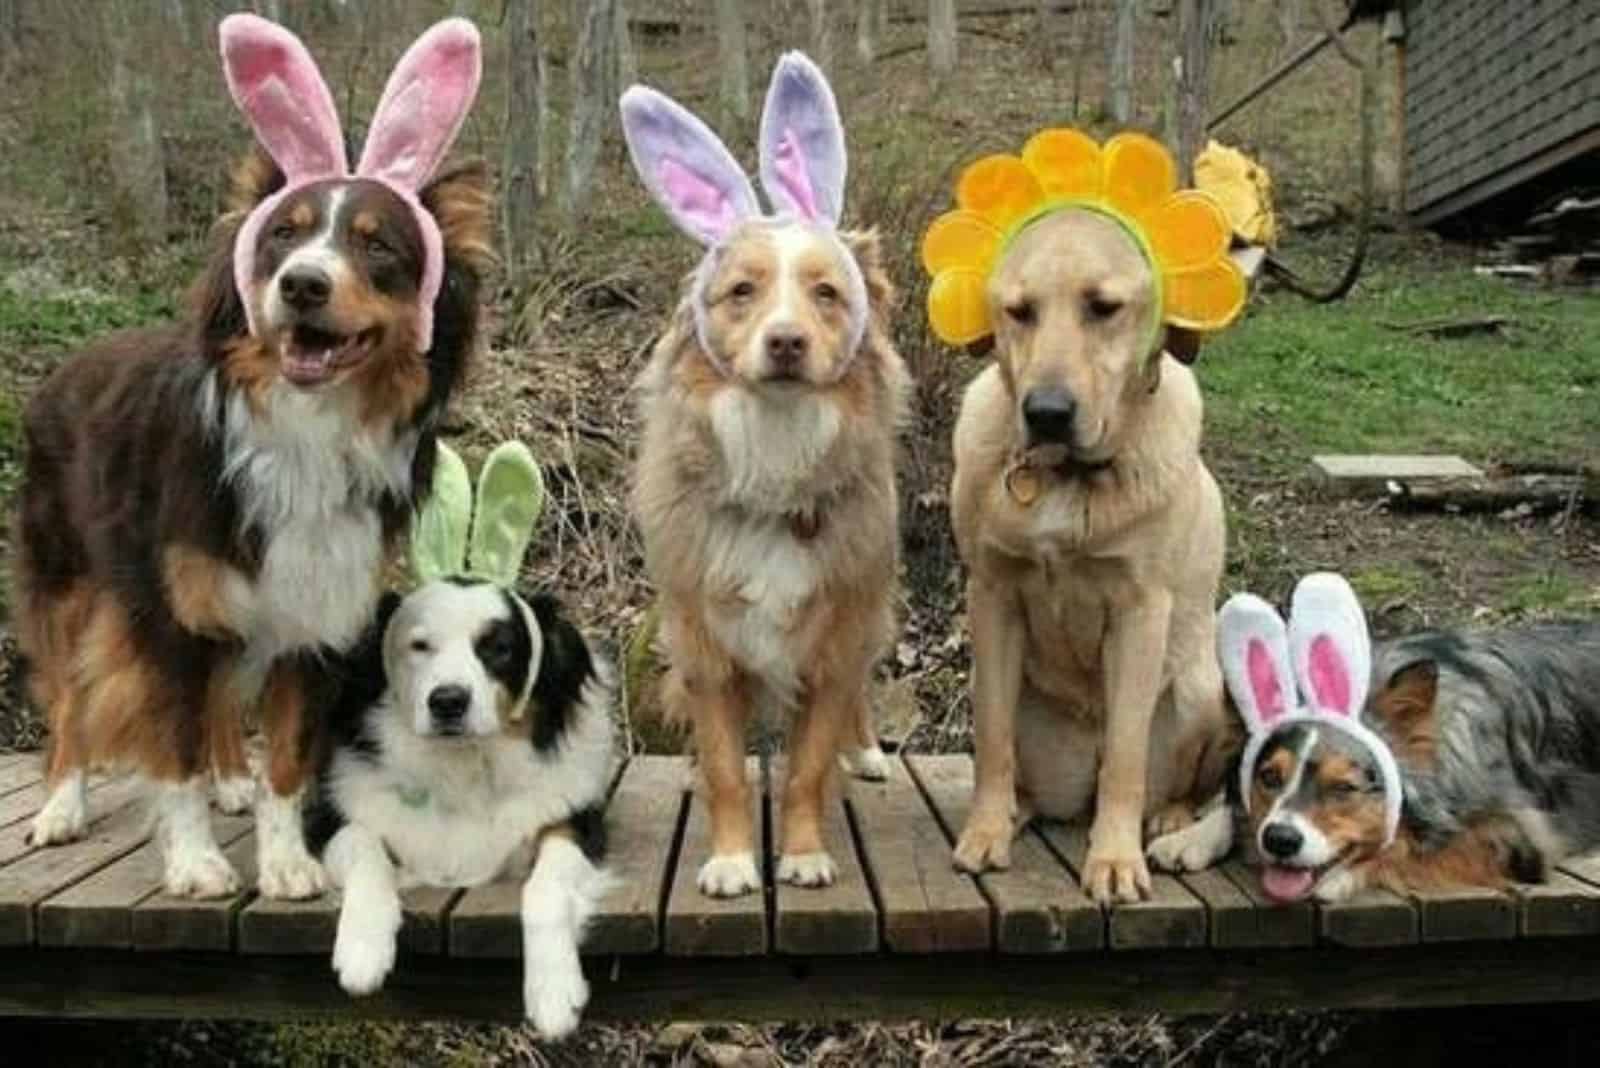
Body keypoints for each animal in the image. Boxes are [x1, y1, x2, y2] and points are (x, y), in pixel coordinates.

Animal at [304, 578, 611, 1036]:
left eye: (498, 648)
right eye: (419, 645)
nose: (448, 701)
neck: (463, 764)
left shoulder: (575, 823)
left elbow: (546, 885)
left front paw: (554, 991)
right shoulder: (328, 817)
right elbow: (365, 849)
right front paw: (362, 948)